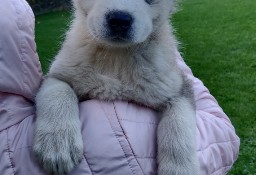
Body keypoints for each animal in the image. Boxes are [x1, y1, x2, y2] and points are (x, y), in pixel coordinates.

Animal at [33, 0, 199, 174]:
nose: (119, 21)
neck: (116, 56)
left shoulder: (178, 87)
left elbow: (179, 122)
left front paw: (180, 167)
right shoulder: (57, 75)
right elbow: (59, 93)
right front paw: (57, 143)